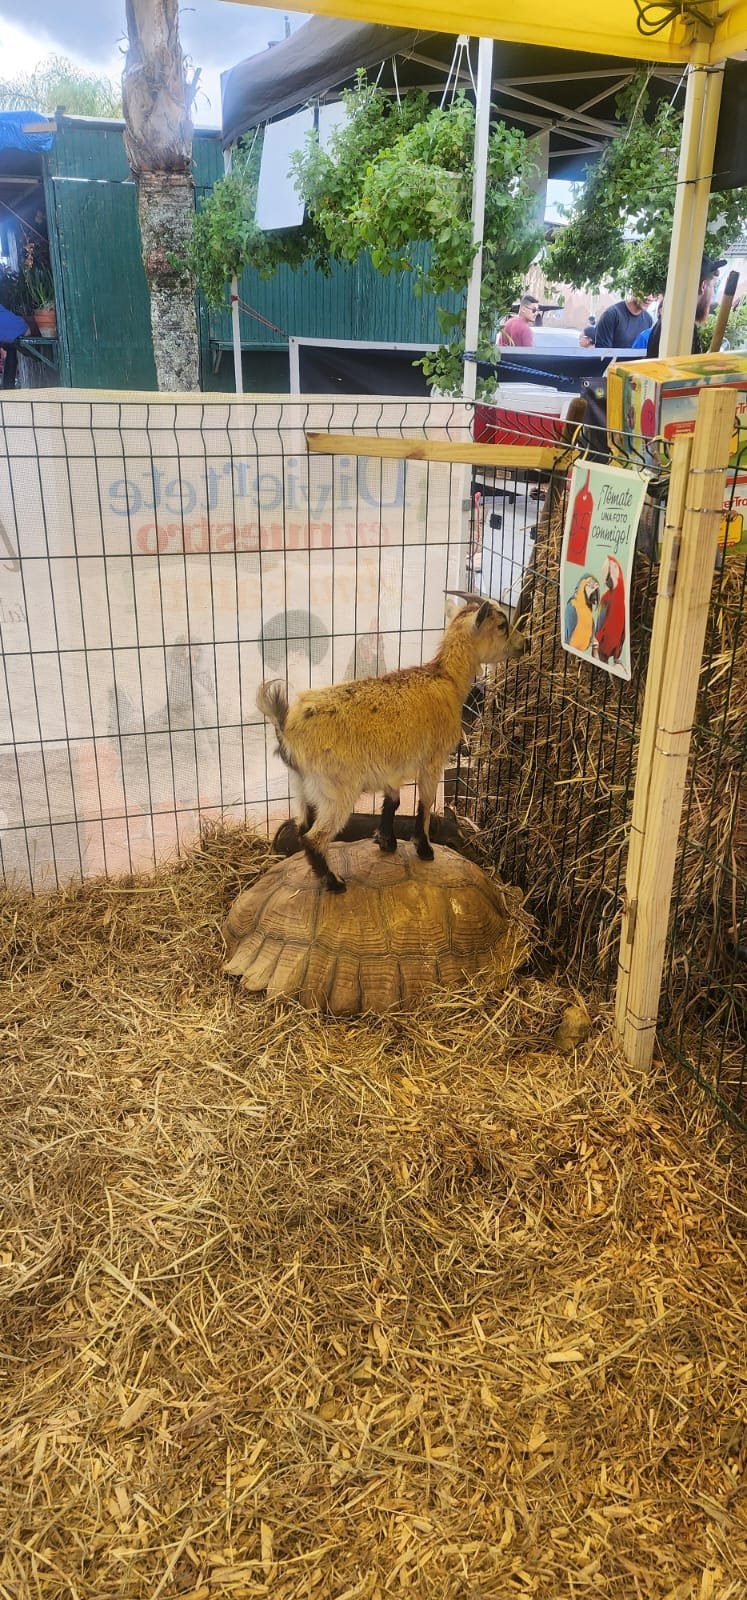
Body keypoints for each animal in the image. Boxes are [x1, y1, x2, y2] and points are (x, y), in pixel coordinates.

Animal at [256, 598, 526, 893]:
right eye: (502, 625)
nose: (523, 643)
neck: (447, 680)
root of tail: (286, 728)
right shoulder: (433, 760)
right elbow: (425, 803)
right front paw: (424, 848)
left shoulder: (391, 767)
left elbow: (393, 802)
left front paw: (386, 841)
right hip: (336, 789)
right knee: (315, 837)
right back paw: (335, 882)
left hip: (301, 787)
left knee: (302, 826)